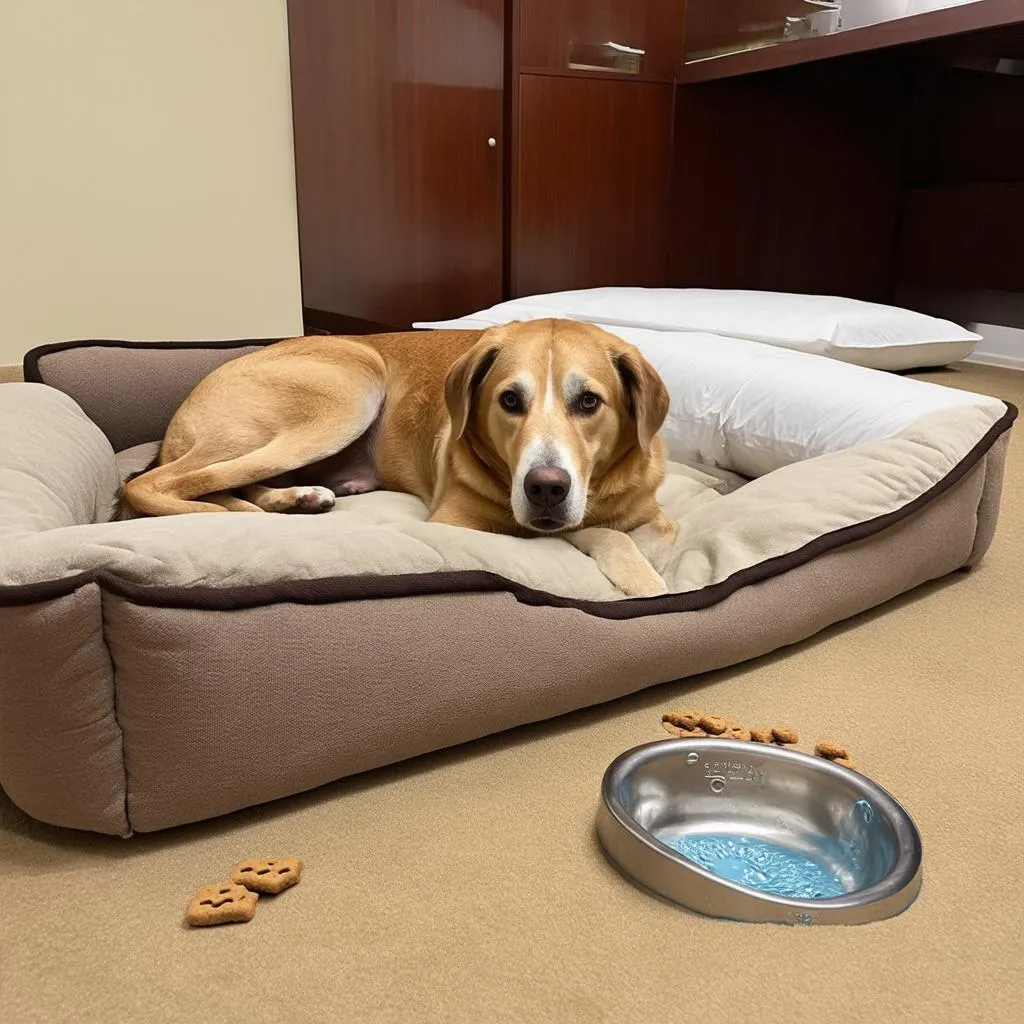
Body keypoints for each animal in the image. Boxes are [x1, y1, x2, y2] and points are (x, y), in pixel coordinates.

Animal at [123, 315, 675, 598]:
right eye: (509, 400)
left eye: (589, 402)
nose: (545, 488)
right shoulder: (463, 521)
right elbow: (594, 532)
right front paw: (646, 580)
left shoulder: (653, 511)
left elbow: (659, 532)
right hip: (351, 388)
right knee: (154, 485)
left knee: (225, 483)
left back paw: (296, 498)